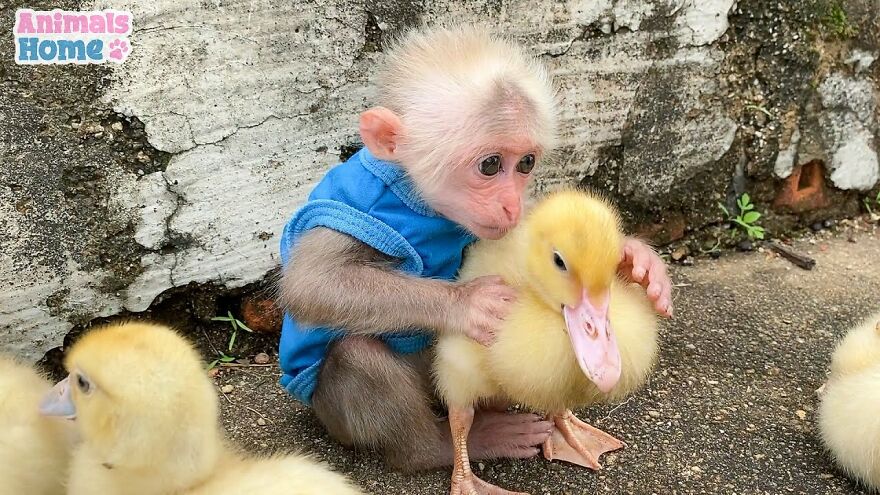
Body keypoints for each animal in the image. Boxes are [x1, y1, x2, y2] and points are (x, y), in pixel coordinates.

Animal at [277, 25, 673, 473]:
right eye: (490, 165)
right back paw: (464, 442)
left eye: (526, 163)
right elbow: (311, 283)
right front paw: (473, 303)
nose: (512, 205)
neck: (420, 201)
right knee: (358, 355)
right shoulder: (358, 204)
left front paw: (639, 259)